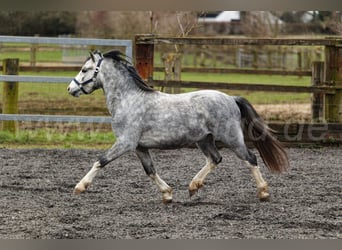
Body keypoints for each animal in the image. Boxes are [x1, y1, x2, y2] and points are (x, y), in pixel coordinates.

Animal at [67, 50, 288, 203]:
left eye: (85, 70)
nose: (70, 89)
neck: (129, 100)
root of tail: (231, 98)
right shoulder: (139, 147)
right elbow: (150, 171)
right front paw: (167, 195)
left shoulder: (125, 143)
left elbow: (100, 161)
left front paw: (79, 187)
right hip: (204, 140)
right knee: (215, 159)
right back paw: (193, 186)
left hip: (231, 138)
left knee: (250, 159)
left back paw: (263, 192)